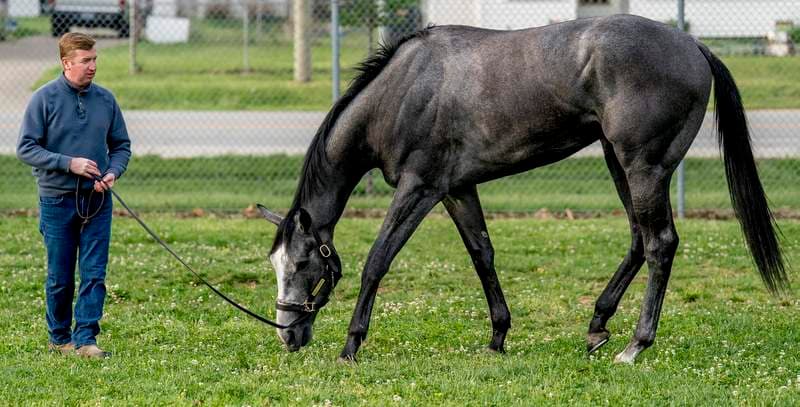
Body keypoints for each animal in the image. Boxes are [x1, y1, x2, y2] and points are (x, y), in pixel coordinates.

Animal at [257, 14, 788, 363]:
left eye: (302, 264)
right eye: (275, 264)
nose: (287, 334)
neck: (404, 90)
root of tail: (693, 46)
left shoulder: (419, 188)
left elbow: (378, 260)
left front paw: (351, 344)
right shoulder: (458, 189)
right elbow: (482, 255)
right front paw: (498, 336)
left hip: (643, 167)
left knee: (660, 244)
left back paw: (635, 345)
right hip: (620, 164)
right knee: (639, 240)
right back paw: (597, 328)